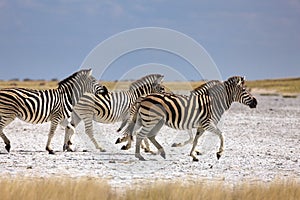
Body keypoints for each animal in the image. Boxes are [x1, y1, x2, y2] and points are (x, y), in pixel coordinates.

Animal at [122, 76, 258, 162]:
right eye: (244, 90)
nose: (255, 102)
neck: (213, 103)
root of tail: (144, 97)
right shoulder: (207, 123)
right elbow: (221, 134)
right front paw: (219, 153)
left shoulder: (200, 126)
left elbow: (195, 140)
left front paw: (193, 155)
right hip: (151, 121)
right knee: (141, 135)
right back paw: (140, 156)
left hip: (150, 121)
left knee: (146, 135)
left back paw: (159, 152)